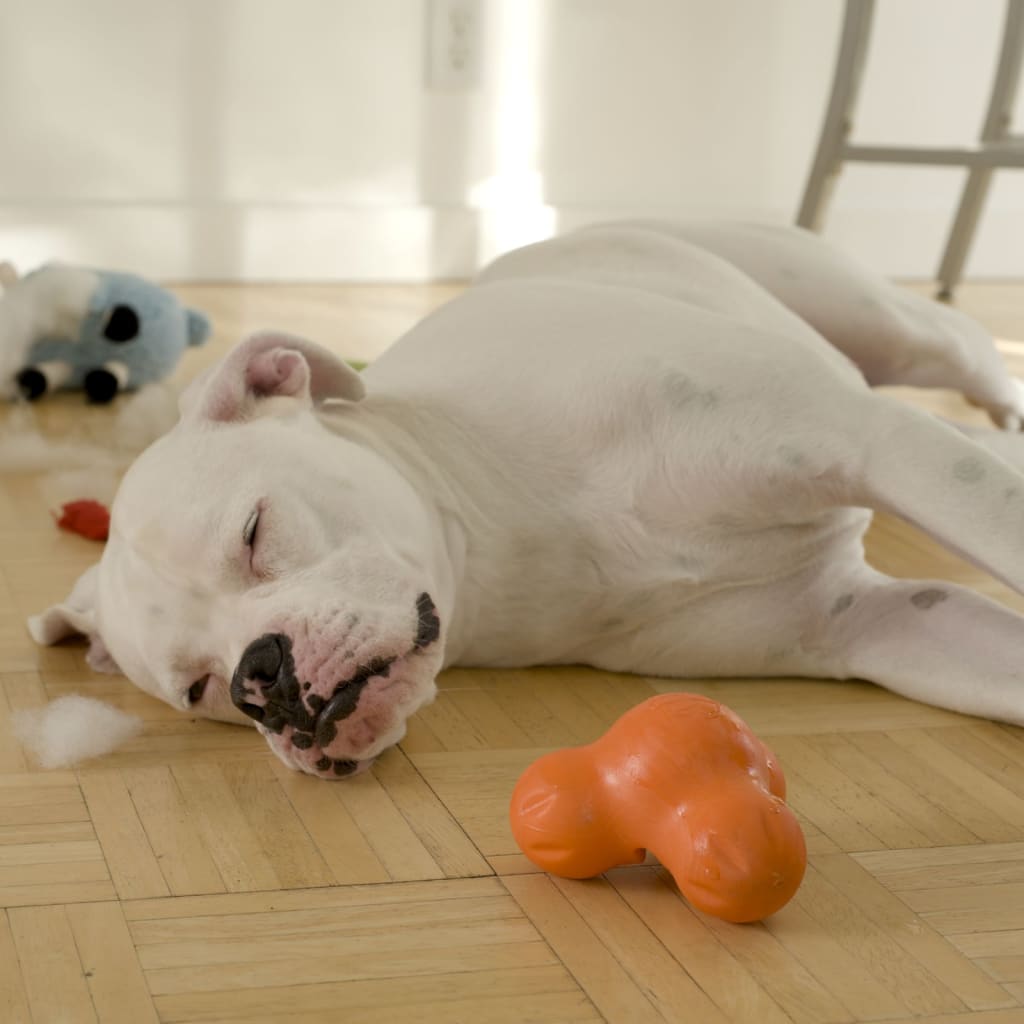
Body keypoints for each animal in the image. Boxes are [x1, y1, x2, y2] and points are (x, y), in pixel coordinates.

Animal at [24, 222, 1024, 774]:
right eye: (199, 690)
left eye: (255, 533)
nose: (257, 678)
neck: (511, 526)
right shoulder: (870, 625)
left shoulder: (862, 437)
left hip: (887, 329)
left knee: (967, 353)